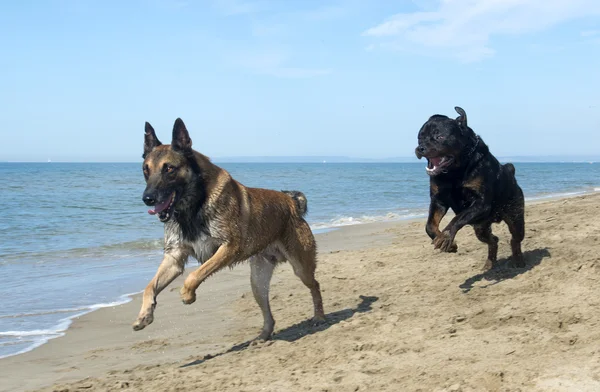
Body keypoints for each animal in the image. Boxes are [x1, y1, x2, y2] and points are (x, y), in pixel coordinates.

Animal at [134, 118, 326, 342]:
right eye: (146, 170)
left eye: (169, 169)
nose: (147, 198)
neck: (194, 205)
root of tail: (292, 203)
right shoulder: (174, 259)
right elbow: (149, 287)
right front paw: (144, 315)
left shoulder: (228, 248)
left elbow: (195, 274)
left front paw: (187, 294)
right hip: (257, 282)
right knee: (268, 312)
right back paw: (263, 335)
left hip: (301, 268)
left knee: (315, 285)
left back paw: (319, 317)